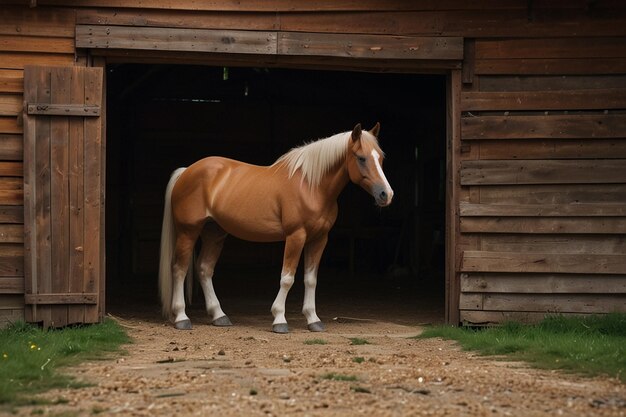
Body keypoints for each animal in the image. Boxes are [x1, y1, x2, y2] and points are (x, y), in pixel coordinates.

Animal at [158, 122, 392, 334]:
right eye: (361, 158)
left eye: (380, 158)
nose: (386, 194)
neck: (311, 186)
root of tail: (186, 171)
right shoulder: (296, 236)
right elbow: (287, 278)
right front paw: (279, 319)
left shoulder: (319, 238)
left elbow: (311, 279)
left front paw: (313, 320)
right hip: (188, 232)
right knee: (179, 268)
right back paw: (182, 318)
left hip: (214, 233)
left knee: (204, 269)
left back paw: (219, 316)